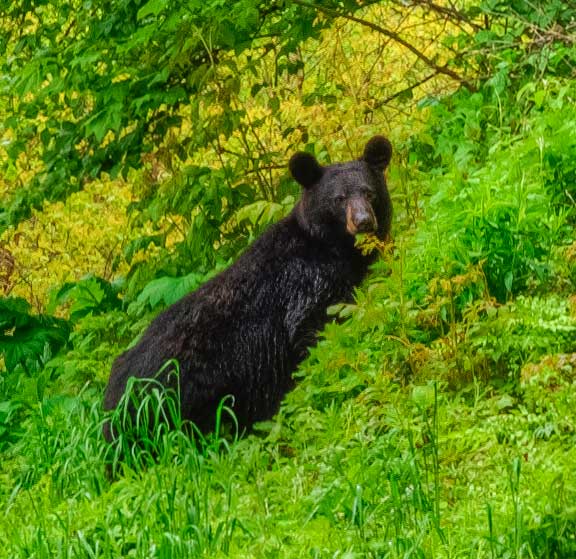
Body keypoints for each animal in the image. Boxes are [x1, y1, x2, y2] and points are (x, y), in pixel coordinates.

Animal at [102, 137, 392, 442]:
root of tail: (109, 402)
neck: (332, 249)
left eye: (369, 192)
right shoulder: (305, 287)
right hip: (170, 399)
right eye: (339, 198)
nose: (363, 221)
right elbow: (313, 333)